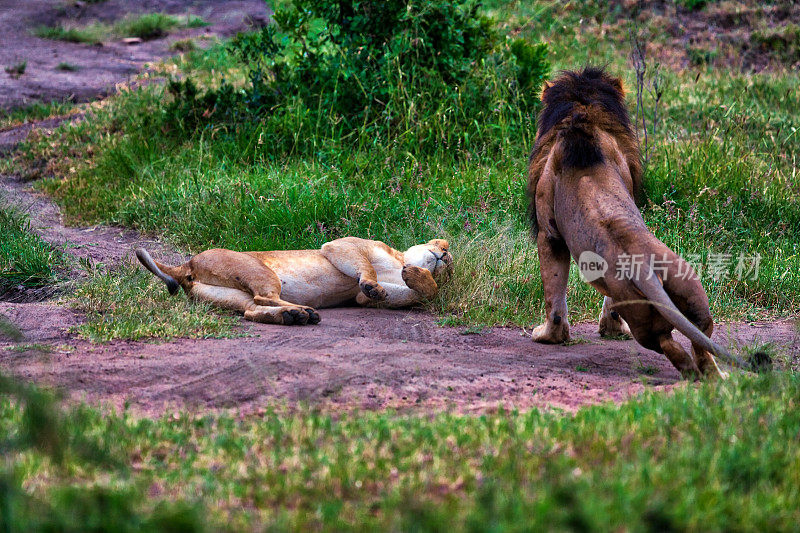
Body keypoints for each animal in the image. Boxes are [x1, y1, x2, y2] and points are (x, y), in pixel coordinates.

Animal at [134, 237, 454, 324]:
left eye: (450, 270)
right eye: (443, 243)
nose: (446, 255)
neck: (400, 259)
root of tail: (187, 264)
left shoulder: (362, 298)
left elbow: (424, 293)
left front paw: (420, 278)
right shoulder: (339, 245)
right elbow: (368, 271)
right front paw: (377, 284)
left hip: (228, 295)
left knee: (252, 309)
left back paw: (294, 315)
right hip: (257, 270)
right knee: (264, 297)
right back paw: (303, 312)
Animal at [524, 66, 744, 378]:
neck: (585, 118)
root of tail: (645, 269)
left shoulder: (548, 231)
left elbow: (553, 297)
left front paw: (548, 336)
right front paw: (612, 328)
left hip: (645, 322)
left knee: (669, 344)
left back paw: (691, 373)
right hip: (692, 293)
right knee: (701, 337)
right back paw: (715, 376)